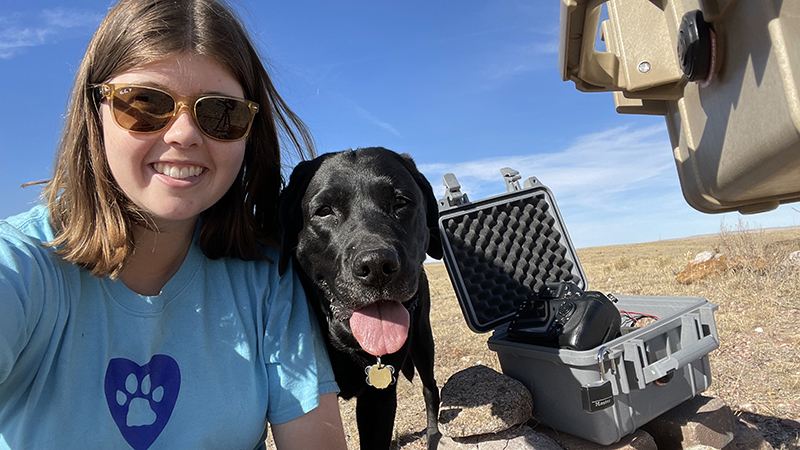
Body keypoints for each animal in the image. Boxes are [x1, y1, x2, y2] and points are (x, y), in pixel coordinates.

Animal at [280, 148, 444, 450]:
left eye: (400, 202)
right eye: (324, 210)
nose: (377, 265)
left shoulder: (378, 399)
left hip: (422, 338)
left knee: (430, 388)